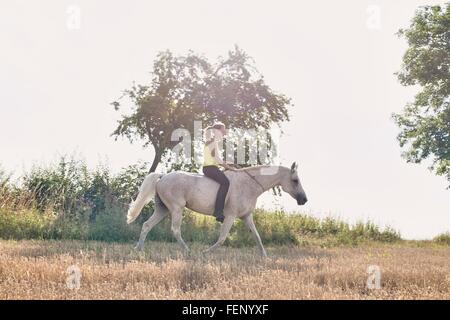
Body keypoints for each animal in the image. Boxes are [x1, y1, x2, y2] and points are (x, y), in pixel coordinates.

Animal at [128, 161, 308, 256]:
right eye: (295, 180)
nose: (304, 200)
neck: (249, 185)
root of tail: (162, 177)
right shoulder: (230, 216)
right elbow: (222, 238)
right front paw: (205, 253)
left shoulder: (247, 216)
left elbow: (257, 237)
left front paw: (265, 256)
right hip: (176, 209)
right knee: (175, 230)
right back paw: (188, 251)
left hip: (163, 209)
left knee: (147, 225)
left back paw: (139, 249)